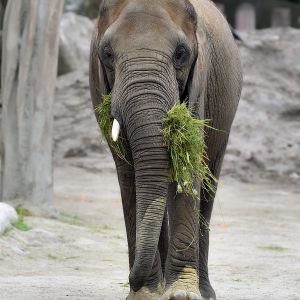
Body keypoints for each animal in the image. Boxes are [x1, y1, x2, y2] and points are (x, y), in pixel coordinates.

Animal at [89, 0, 241, 300]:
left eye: (181, 54)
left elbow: (188, 164)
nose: (130, 280)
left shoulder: (200, 84)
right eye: (107, 54)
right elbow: (130, 175)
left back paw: (205, 292)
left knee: (207, 188)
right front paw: (145, 294)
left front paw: (181, 294)